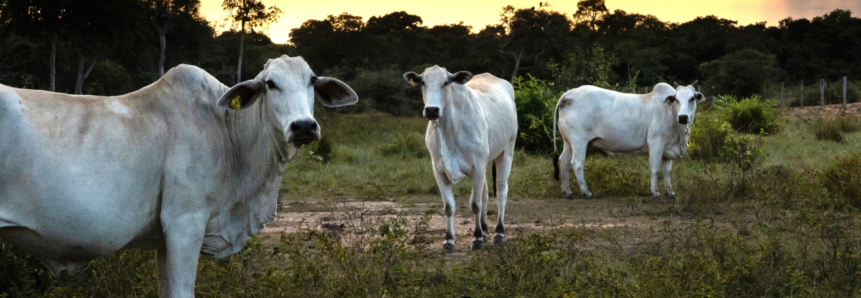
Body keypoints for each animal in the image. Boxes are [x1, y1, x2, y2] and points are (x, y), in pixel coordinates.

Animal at [0, 55, 356, 296]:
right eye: (270, 83)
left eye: (312, 80)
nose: (303, 126)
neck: (227, 130)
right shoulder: (186, 222)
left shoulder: (163, 238)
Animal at [404, 65, 516, 251]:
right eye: (423, 82)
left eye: (446, 82)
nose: (432, 110)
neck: (449, 129)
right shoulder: (439, 170)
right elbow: (449, 206)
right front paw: (449, 240)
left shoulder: (477, 167)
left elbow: (475, 204)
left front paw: (476, 238)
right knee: (485, 194)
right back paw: (485, 230)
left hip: (507, 150)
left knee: (501, 190)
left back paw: (498, 233)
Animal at [556, 81, 704, 200]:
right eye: (676, 100)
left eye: (692, 99)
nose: (683, 117)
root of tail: (569, 93)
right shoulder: (656, 144)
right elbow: (655, 169)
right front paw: (655, 193)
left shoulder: (667, 150)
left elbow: (667, 171)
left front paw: (670, 193)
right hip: (579, 141)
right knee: (577, 163)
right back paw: (586, 193)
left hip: (568, 142)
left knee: (564, 161)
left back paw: (567, 192)